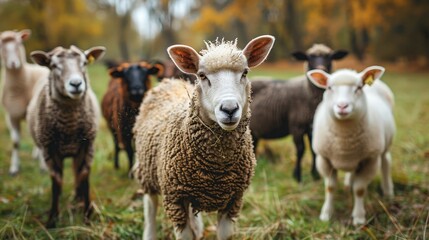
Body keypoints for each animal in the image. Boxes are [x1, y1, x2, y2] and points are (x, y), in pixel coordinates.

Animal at [0, 29, 49, 174]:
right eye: (2, 46)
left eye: (18, 43)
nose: (13, 63)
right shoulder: (11, 115)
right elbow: (15, 143)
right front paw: (14, 168)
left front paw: (43, 167)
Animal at [249, 43, 346, 182]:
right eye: (309, 58)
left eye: (330, 57)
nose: (321, 69)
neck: (308, 92)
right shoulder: (297, 126)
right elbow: (300, 150)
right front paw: (297, 176)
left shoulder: (312, 127)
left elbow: (313, 150)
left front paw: (315, 175)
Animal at [304, 65, 394, 225]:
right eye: (329, 87)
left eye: (358, 88)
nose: (342, 106)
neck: (344, 141)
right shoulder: (324, 159)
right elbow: (330, 187)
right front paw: (326, 214)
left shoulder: (370, 159)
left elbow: (359, 189)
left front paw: (358, 218)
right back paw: (348, 183)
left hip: (384, 146)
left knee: (386, 162)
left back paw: (388, 192)